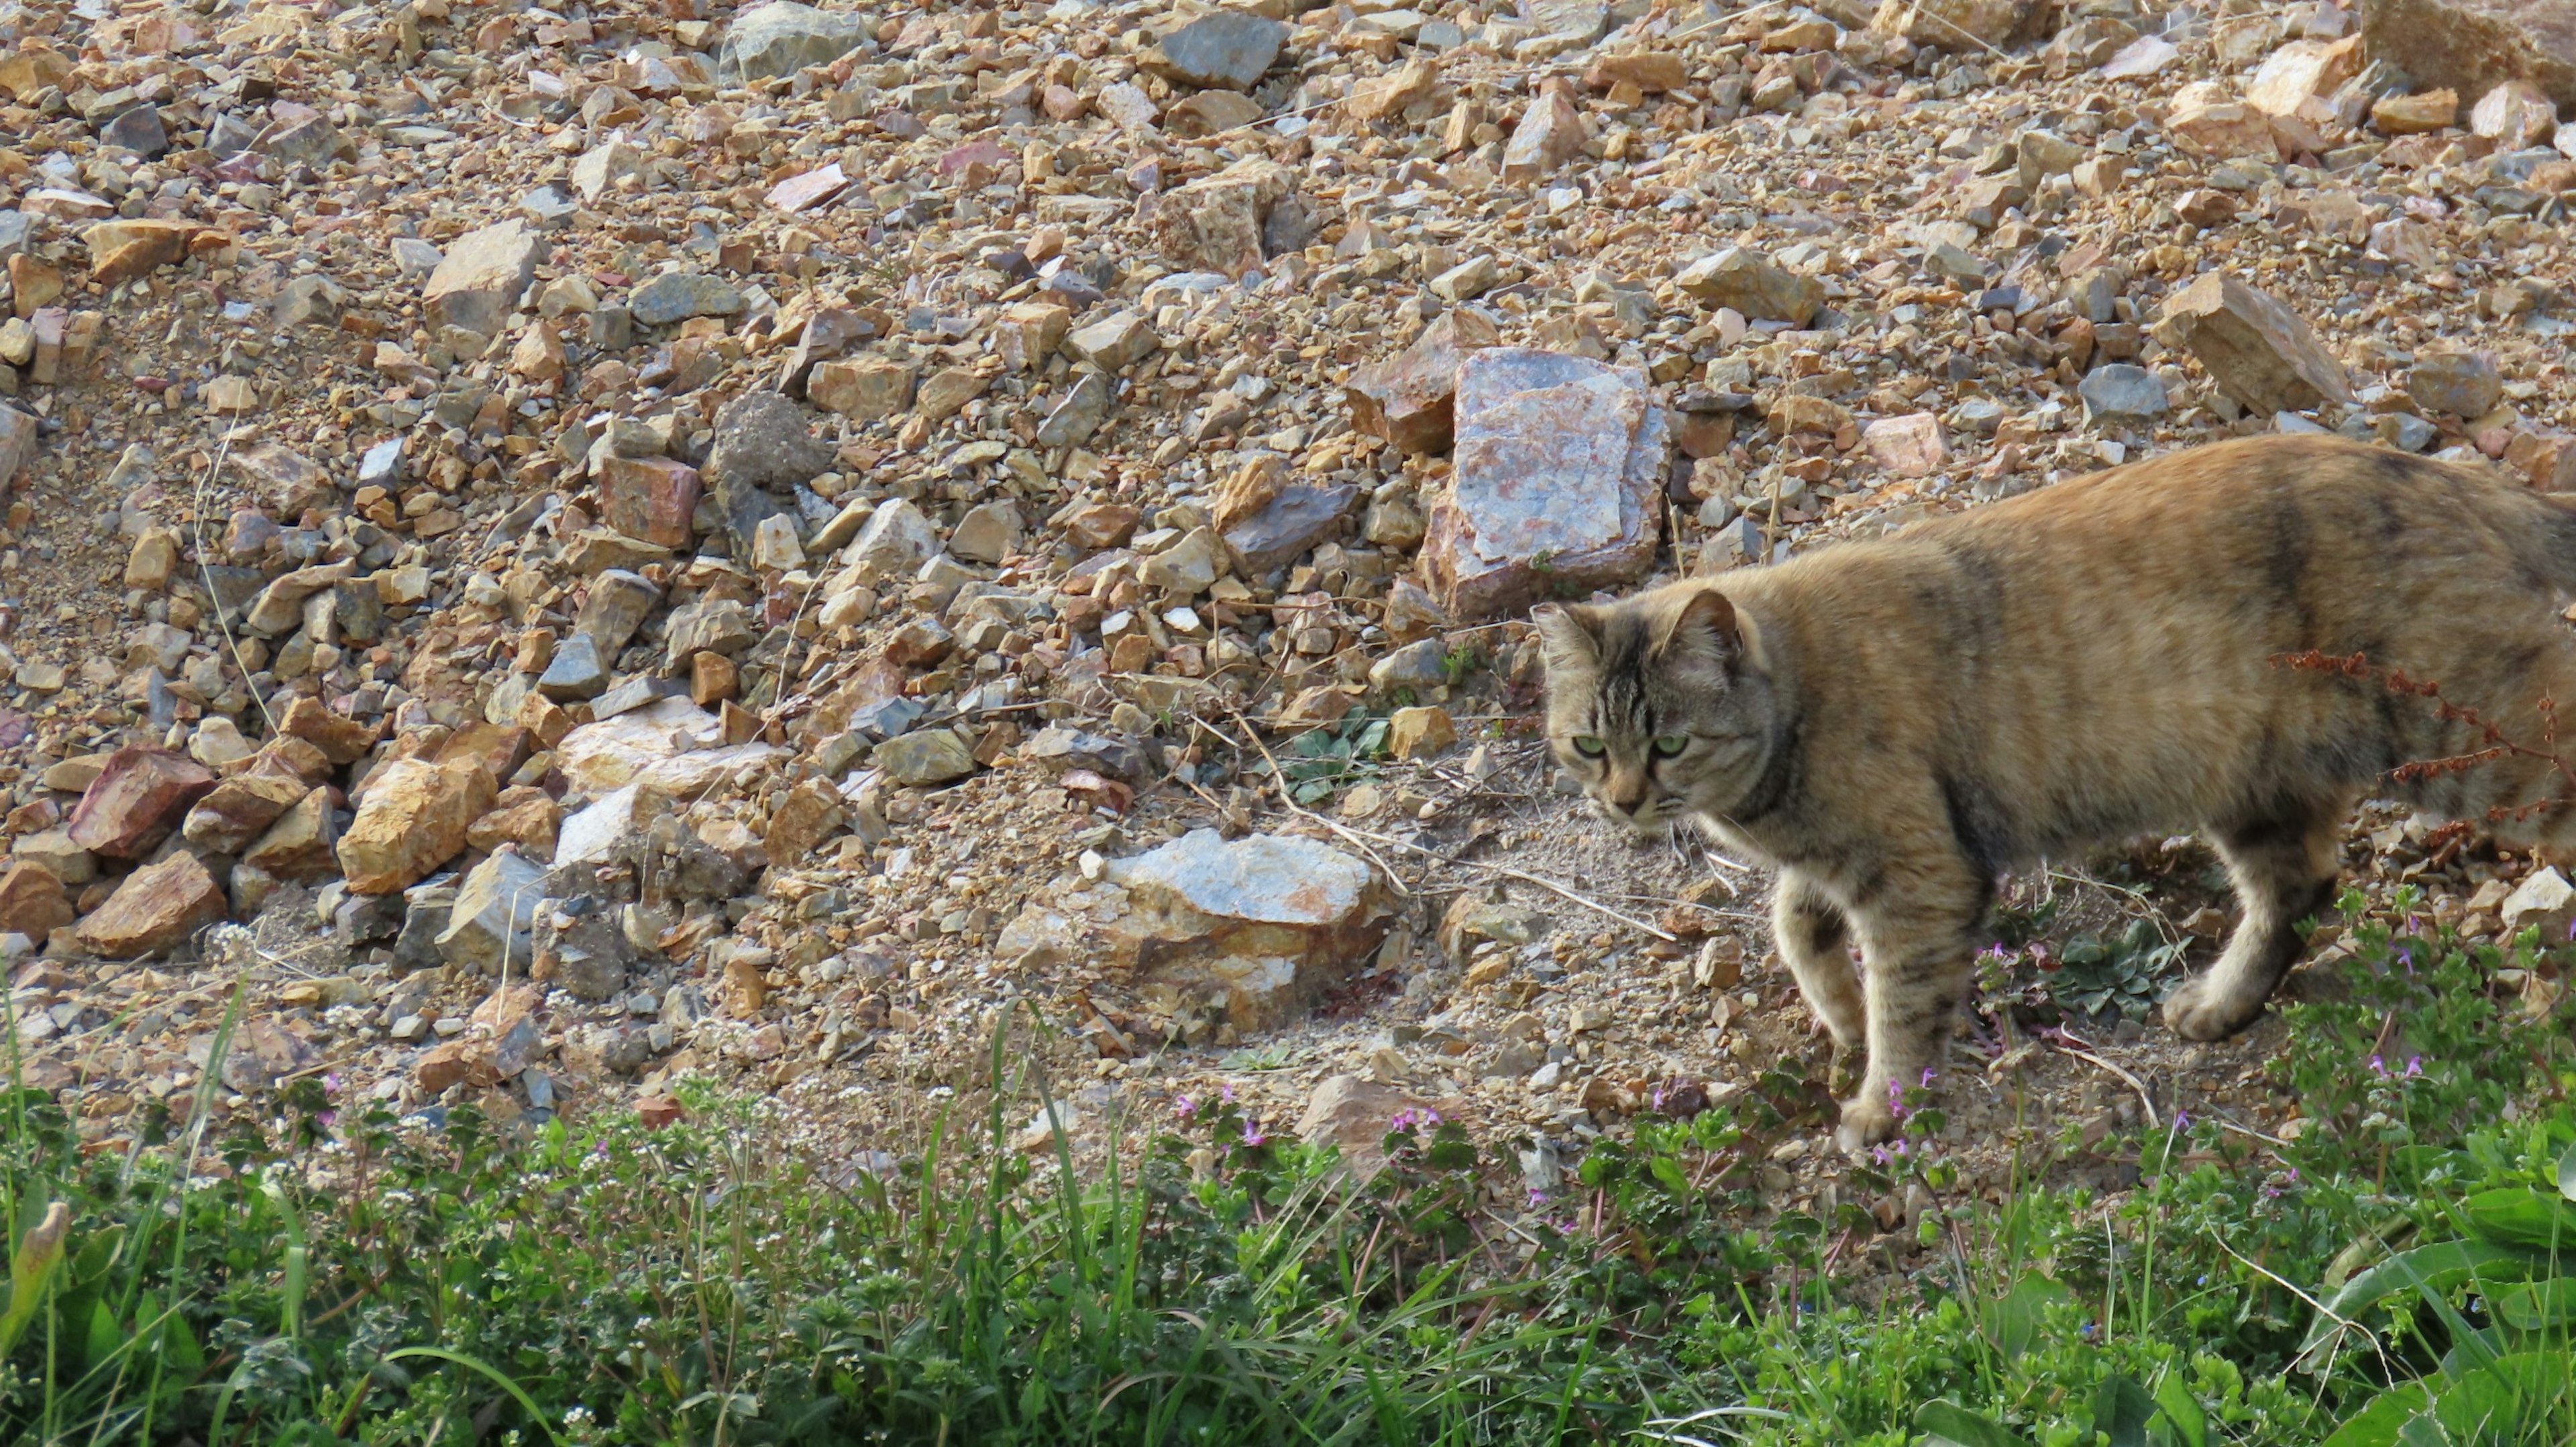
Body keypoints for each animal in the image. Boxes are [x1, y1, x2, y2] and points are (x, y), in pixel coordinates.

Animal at [1525, 432, 2576, 1143]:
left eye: (1668, 741)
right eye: (1588, 743)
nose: (1622, 801)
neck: (1795, 702)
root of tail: (2463, 480)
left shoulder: (1918, 878)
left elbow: (1903, 1002)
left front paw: (1880, 1104)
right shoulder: (1844, 864)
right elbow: (1799, 930)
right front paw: (1839, 1017)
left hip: (2473, 741)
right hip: (2256, 784)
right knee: (2301, 890)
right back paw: (2221, 1003)